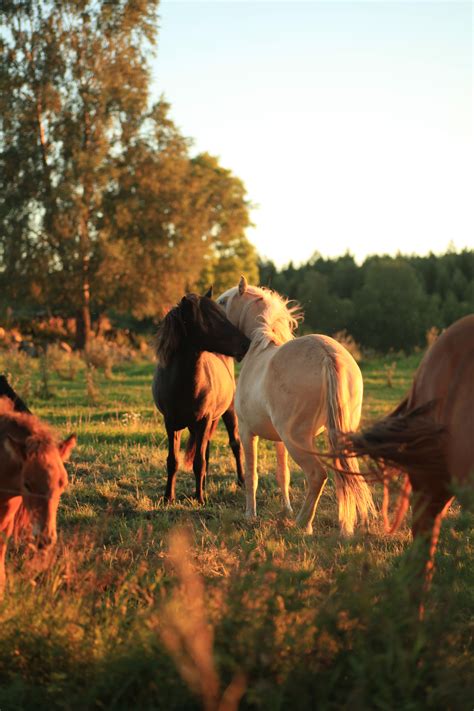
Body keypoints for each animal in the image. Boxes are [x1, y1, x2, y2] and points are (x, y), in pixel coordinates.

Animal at [152, 289, 250, 504]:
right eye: (210, 321)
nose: (247, 343)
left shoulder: (204, 420)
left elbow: (198, 461)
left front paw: (199, 499)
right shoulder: (171, 423)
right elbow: (173, 461)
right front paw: (168, 497)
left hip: (228, 413)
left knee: (235, 444)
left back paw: (241, 481)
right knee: (206, 449)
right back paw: (203, 485)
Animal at [216, 276, 375, 535]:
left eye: (222, 302)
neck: (259, 350)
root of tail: (327, 355)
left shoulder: (247, 432)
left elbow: (251, 475)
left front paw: (250, 514)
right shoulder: (278, 440)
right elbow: (283, 475)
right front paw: (286, 509)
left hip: (296, 439)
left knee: (317, 474)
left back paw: (304, 524)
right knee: (342, 475)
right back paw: (344, 527)